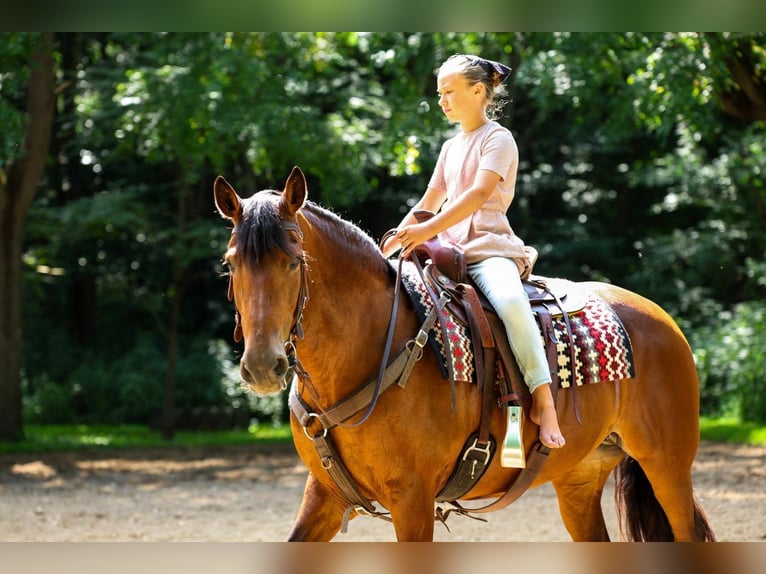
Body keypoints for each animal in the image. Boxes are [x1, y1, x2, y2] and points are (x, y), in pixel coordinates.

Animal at [213, 166, 715, 542]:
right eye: (230, 263)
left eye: (293, 261)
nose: (263, 365)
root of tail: (659, 316)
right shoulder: (324, 495)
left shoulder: (412, 501)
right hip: (579, 479)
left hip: (668, 467)